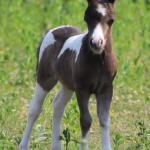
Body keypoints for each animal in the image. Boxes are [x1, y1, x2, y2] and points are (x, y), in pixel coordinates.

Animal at [19, 0, 117, 149]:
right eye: (86, 18)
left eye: (111, 20)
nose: (96, 43)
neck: (98, 62)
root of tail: (53, 30)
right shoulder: (82, 89)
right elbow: (86, 120)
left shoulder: (106, 89)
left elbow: (104, 120)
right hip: (45, 78)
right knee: (34, 109)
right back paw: (23, 145)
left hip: (68, 85)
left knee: (58, 105)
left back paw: (56, 146)